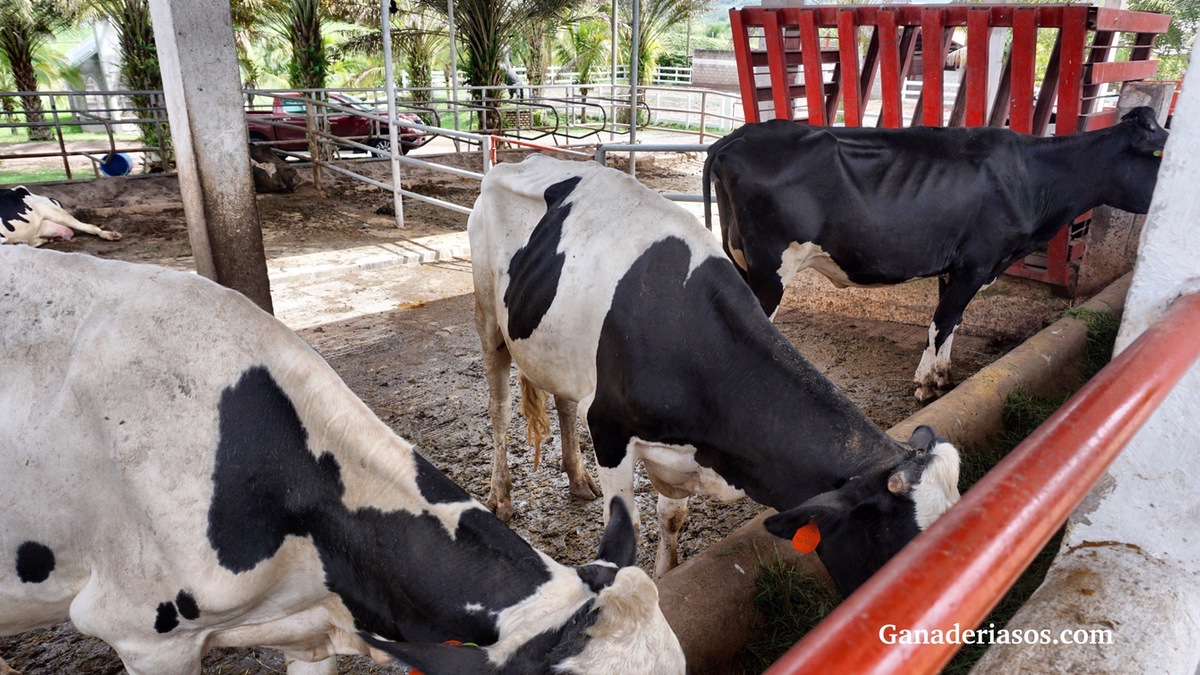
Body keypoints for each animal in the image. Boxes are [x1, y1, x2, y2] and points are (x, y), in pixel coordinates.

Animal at [470, 153, 964, 593]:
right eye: (897, 554)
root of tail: (515, 162)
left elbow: (671, 518)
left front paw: (666, 576)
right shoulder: (609, 428)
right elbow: (624, 530)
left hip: (558, 345)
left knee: (563, 402)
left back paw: (575, 477)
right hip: (489, 318)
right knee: (498, 407)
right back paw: (501, 495)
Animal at [700, 105, 1166, 398]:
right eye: (1162, 154)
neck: (1032, 178)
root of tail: (733, 138)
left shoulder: (957, 267)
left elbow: (953, 322)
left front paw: (942, 376)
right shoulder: (976, 263)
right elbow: (941, 323)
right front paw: (925, 383)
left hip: (741, 259)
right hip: (771, 269)